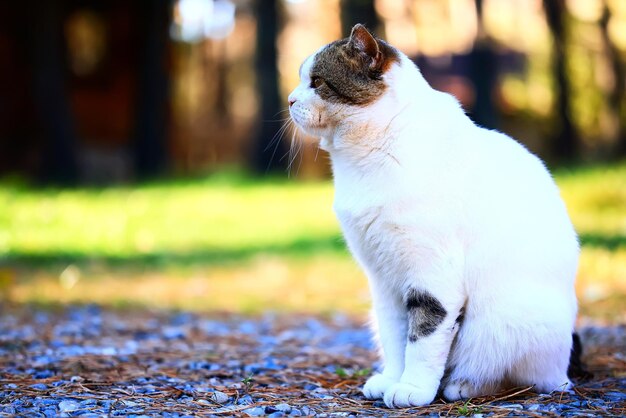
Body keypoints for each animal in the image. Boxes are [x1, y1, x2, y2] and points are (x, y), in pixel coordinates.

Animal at [286, 23, 576, 408]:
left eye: (317, 81)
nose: (289, 100)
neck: (369, 156)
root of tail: (563, 371)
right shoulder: (384, 280)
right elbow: (396, 337)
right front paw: (392, 379)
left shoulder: (431, 275)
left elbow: (422, 339)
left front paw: (412, 389)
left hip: (502, 321)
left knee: (516, 375)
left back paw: (463, 385)